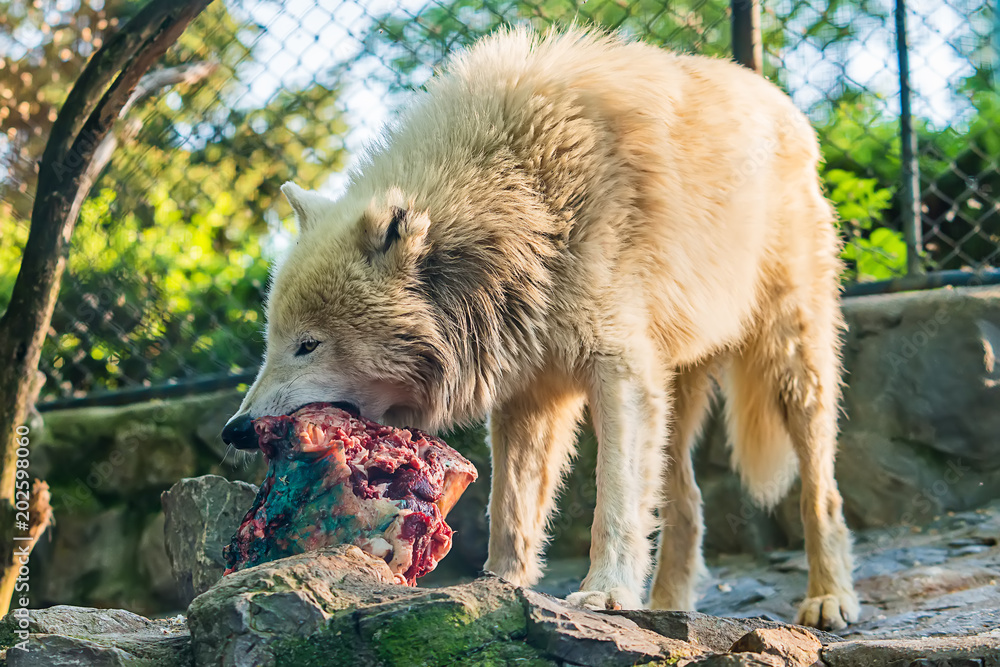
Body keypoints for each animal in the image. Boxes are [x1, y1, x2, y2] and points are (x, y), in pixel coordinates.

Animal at [222, 27, 860, 630]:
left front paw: (604, 593)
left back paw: (829, 598)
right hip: (674, 392)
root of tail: (779, 99)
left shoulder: (617, 374)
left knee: (821, 490)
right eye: (271, 343)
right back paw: (668, 603)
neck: (524, 203)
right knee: (686, 504)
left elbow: (613, 500)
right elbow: (511, 510)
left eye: (308, 345)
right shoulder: (530, 389)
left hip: (790, 364)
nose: (234, 430)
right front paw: (498, 588)